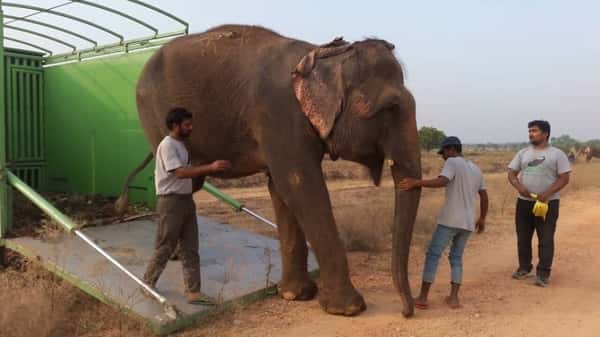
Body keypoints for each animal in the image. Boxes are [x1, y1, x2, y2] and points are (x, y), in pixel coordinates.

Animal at [117, 25, 422, 316]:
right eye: (391, 107)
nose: (408, 309)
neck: (321, 53)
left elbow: (281, 188)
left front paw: (294, 295)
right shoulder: (279, 115)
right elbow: (299, 184)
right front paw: (348, 309)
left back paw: (176, 255)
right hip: (154, 118)